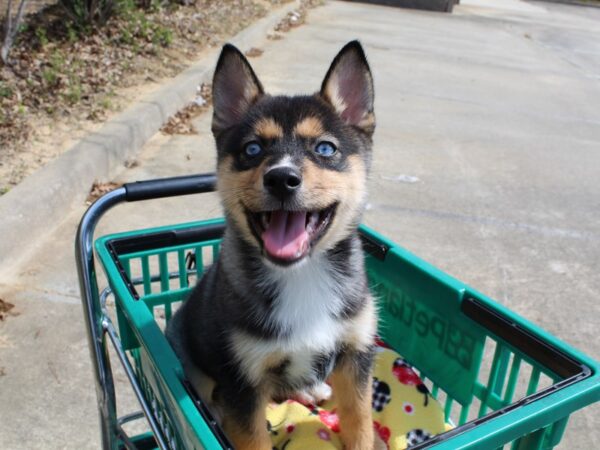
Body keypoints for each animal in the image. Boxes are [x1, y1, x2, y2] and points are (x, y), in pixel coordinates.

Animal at [165, 40, 380, 448]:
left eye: (325, 149)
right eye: (251, 149)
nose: (282, 178)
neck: (303, 276)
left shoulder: (356, 355)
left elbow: (360, 425)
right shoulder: (242, 381)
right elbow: (252, 436)